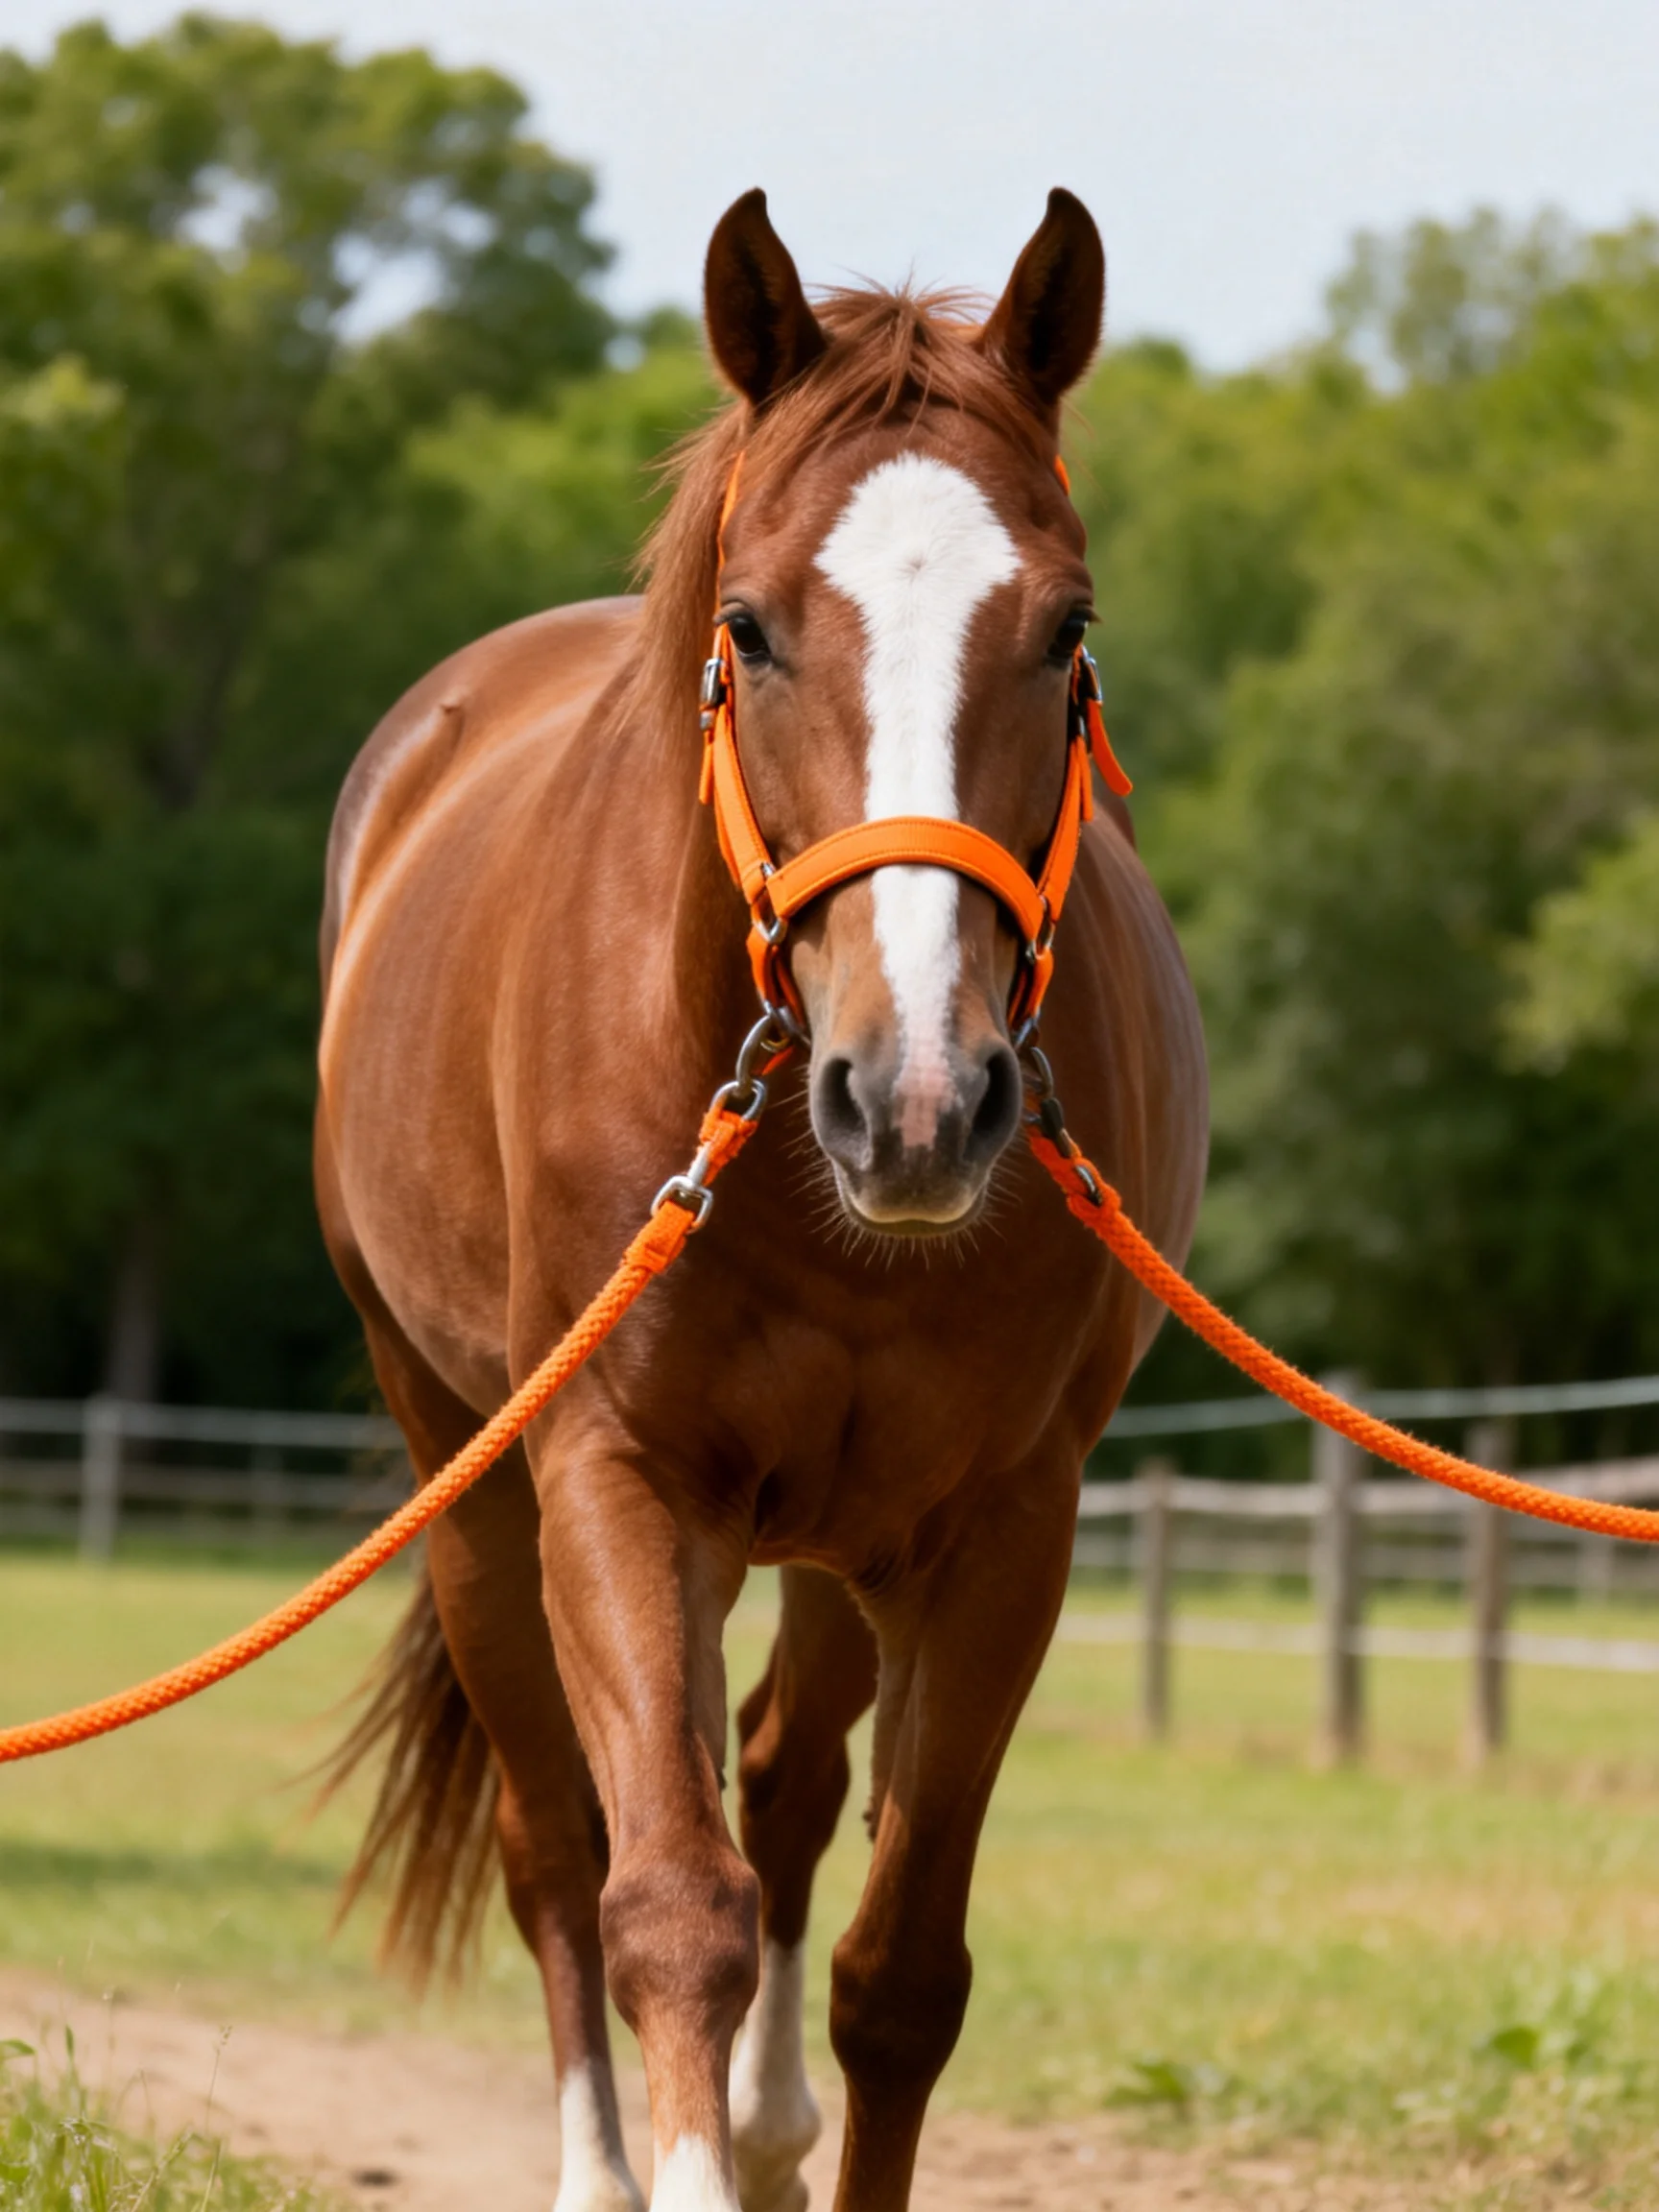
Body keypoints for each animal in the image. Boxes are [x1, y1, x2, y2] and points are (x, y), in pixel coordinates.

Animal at [314, 185, 1207, 2212]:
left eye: (1065, 629)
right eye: (751, 627)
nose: (920, 1099)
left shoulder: (996, 1528)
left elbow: (896, 1970)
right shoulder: (617, 1483)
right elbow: (665, 1901)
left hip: (833, 1534)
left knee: (789, 1776)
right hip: (469, 1471)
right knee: (553, 1838)